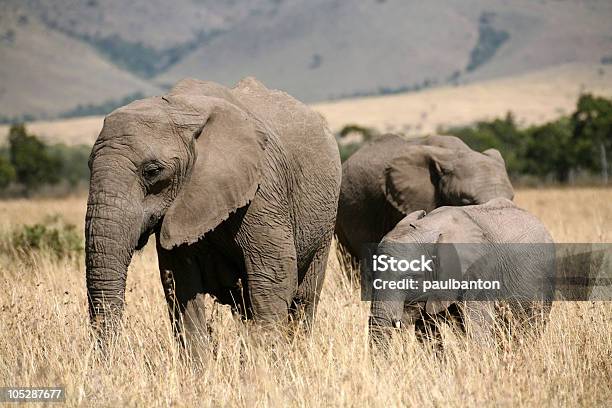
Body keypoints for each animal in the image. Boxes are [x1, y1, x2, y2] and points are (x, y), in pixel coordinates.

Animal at [84, 77, 342, 344]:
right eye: (89, 165)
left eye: (152, 171)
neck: (181, 109)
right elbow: (180, 285)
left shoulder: (263, 191)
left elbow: (273, 277)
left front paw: (263, 355)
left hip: (325, 219)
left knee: (304, 297)